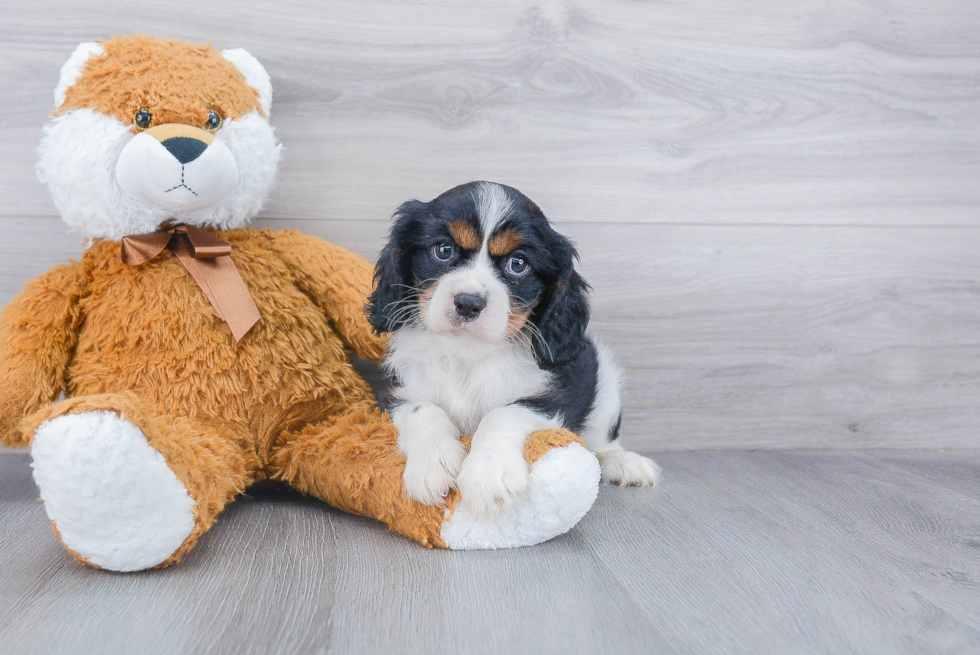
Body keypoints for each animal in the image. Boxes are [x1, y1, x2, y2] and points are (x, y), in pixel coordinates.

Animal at [368, 181, 660, 516]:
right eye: (443, 250)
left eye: (518, 264)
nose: (468, 303)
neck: (468, 351)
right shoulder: (399, 390)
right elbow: (422, 409)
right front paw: (433, 465)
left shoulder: (557, 394)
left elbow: (502, 414)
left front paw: (489, 476)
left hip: (605, 383)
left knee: (602, 441)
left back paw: (624, 463)